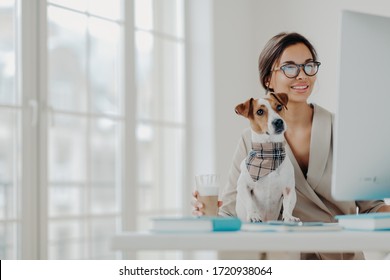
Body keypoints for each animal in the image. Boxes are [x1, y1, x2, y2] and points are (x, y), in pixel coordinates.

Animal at [235, 93, 298, 222]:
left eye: (279, 107)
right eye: (259, 111)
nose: (278, 122)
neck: (269, 154)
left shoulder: (289, 188)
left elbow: (288, 203)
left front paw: (288, 216)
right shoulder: (243, 186)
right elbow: (249, 202)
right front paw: (253, 215)